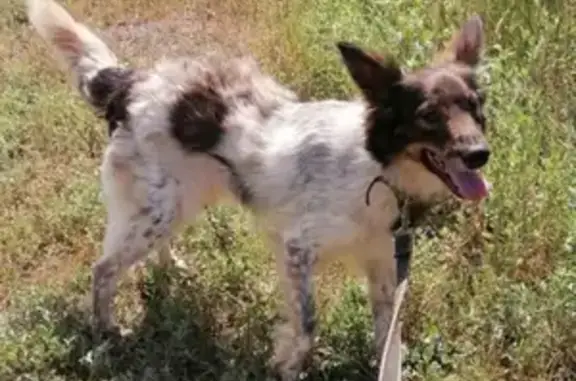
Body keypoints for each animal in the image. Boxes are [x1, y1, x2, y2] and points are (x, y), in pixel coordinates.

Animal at [27, 0, 492, 378]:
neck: (376, 167)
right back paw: (106, 329)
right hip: (157, 207)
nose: (480, 154)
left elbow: (386, 334)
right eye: (428, 115)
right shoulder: (298, 248)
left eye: (475, 108)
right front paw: (288, 364)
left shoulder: (381, 259)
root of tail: (132, 82)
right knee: (103, 270)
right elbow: (307, 325)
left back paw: (169, 266)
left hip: (174, 201)